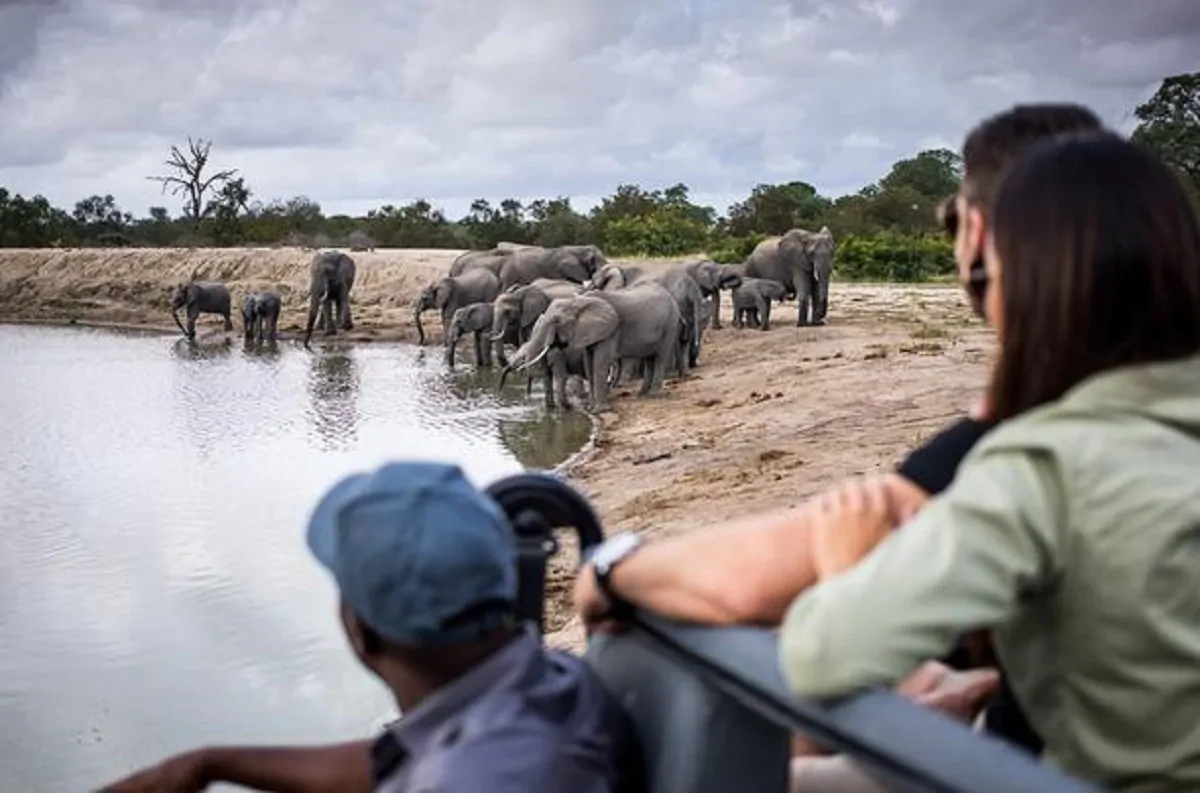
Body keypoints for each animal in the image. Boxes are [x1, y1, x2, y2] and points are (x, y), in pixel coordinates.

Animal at [501, 281, 681, 410]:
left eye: (557, 321)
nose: (527, 397)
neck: (579, 301)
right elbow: (589, 362)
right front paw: (592, 408)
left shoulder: (611, 329)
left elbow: (600, 362)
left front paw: (600, 410)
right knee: (649, 358)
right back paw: (643, 393)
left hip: (671, 323)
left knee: (660, 357)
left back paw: (653, 395)